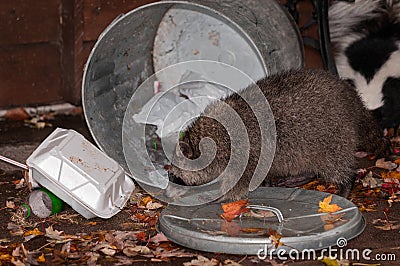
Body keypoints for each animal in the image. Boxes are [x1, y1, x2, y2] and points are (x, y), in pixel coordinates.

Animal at [168, 68, 384, 200]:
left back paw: (346, 183)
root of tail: (352, 98)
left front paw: (222, 195)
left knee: (335, 163)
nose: (169, 181)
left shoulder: (243, 154)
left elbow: (240, 182)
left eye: (176, 173)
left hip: (332, 134)